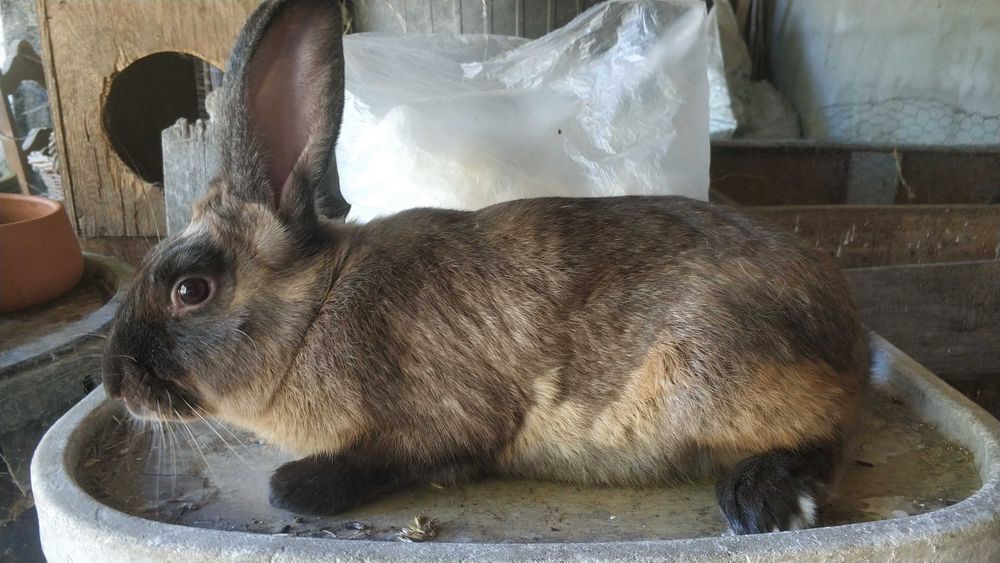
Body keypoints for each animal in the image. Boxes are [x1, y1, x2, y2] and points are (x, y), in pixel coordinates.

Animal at [101, 0, 868, 535]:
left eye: (191, 289)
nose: (114, 384)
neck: (313, 309)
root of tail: (847, 330)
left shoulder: (438, 425)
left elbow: (393, 458)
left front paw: (295, 486)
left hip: (707, 370)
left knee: (825, 428)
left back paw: (762, 500)